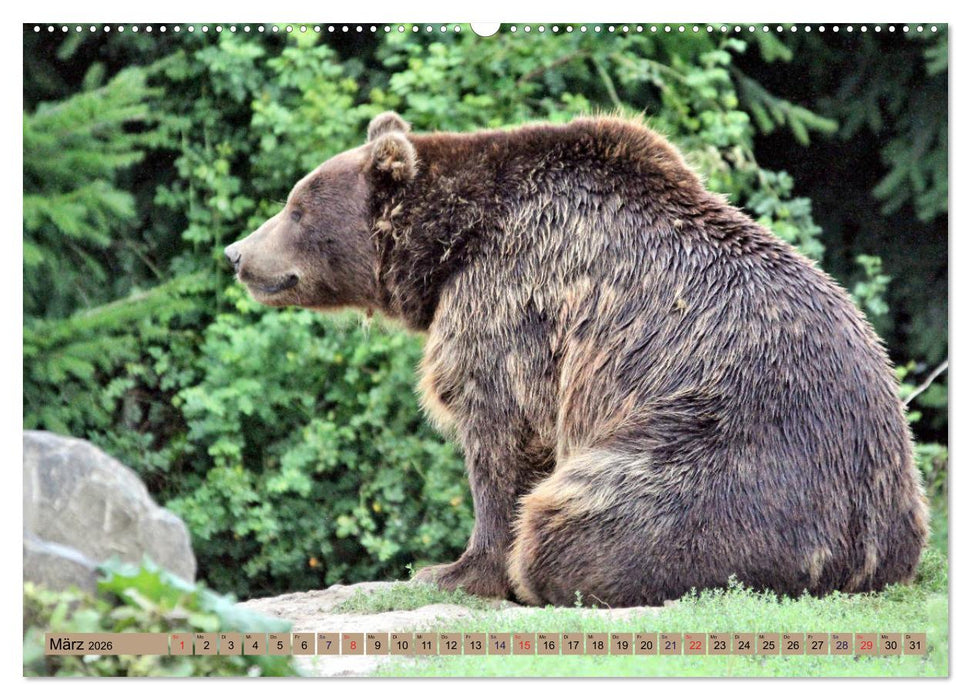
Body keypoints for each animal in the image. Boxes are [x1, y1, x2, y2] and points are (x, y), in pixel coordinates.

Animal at [224, 111, 929, 607]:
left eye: (294, 206)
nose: (236, 253)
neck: (449, 248)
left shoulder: (513, 300)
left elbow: (500, 434)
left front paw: (450, 570)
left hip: (730, 453)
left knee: (583, 511)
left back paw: (542, 568)